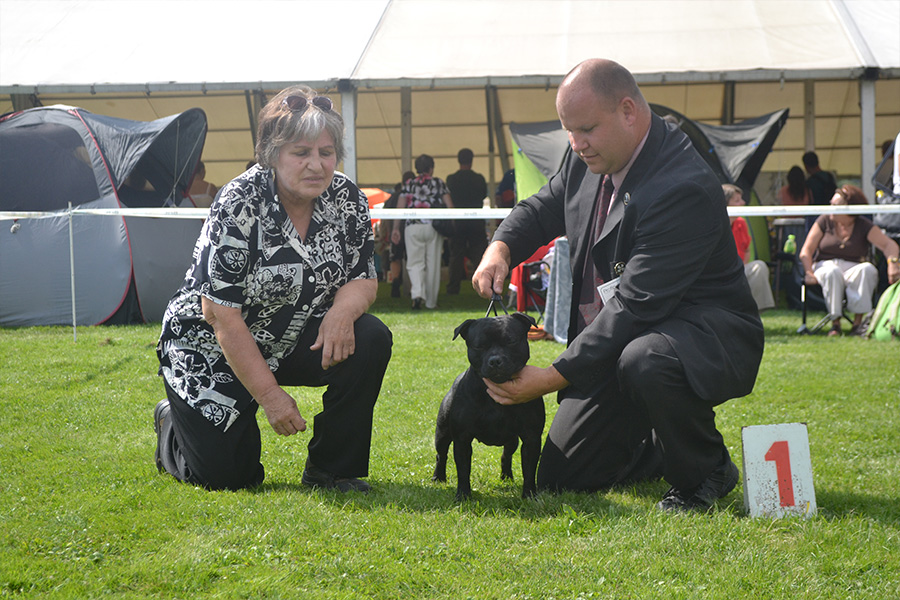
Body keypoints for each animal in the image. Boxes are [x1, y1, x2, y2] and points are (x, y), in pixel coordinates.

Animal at [432, 312, 544, 500]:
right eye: (479, 346)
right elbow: (463, 470)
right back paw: (438, 477)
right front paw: (463, 496)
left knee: (506, 455)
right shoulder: (462, 439)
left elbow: (529, 470)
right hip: (442, 433)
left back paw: (507, 477)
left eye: (511, 341)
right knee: (441, 455)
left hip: (512, 440)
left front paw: (529, 495)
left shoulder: (531, 438)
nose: (495, 360)